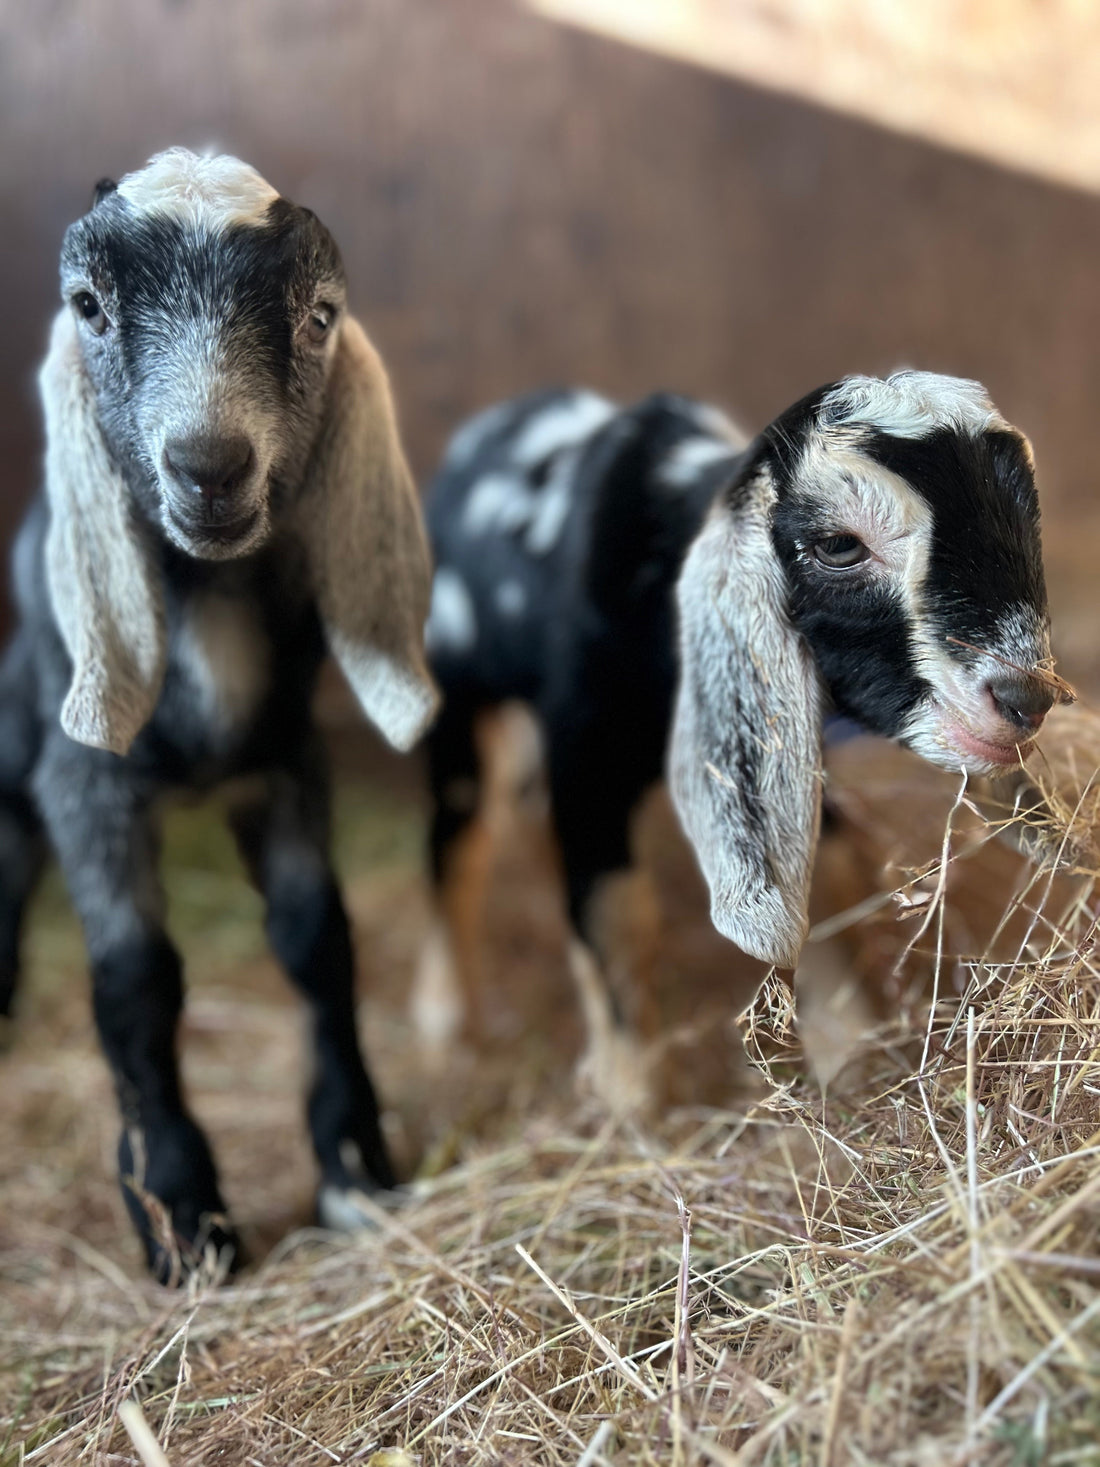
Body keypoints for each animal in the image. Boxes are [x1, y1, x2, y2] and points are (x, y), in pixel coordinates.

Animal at [0, 149, 439, 1280]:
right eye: (88, 304)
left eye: (320, 315)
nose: (209, 466)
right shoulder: (86, 783)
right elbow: (134, 980)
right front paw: (182, 1213)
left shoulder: (284, 758)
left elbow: (316, 939)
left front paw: (355, 1167)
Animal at [416, 377, 1058, 1107]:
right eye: (839, 545)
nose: (1025, 696)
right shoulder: (585, 752)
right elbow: (611, 910)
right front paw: (632, 1099)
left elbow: (829, 877)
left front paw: (856, 1059)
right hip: (453, 693)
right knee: (457, 836)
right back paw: (445, 1026)